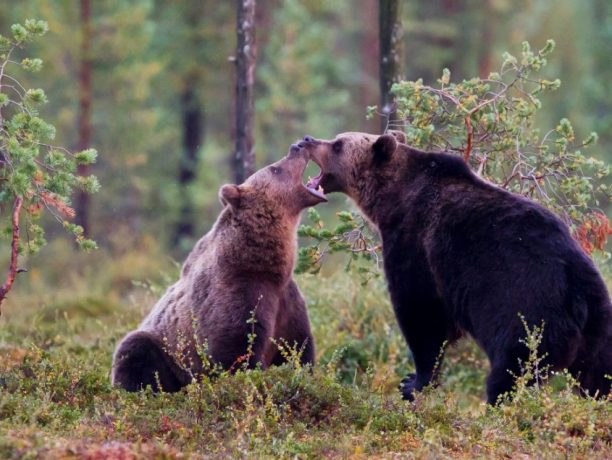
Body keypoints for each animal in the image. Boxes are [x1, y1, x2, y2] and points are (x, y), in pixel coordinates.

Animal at [112, 146, 328, 392]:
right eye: (275, 168)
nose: (298, 145)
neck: (267, 267)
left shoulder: (288, 303)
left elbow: (298, 349)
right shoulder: (238, 294)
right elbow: (235, 355)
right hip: (163, 349)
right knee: (135, 350)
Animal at [300, 130, 612, 402]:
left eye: (337, 144)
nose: (306, 140)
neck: (392, 197)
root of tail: (577, 291)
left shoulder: (416, 242)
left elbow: (421, 315)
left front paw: (413, 383)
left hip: (528, 312)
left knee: (511, 372)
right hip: (598, 323)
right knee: (599, 374)